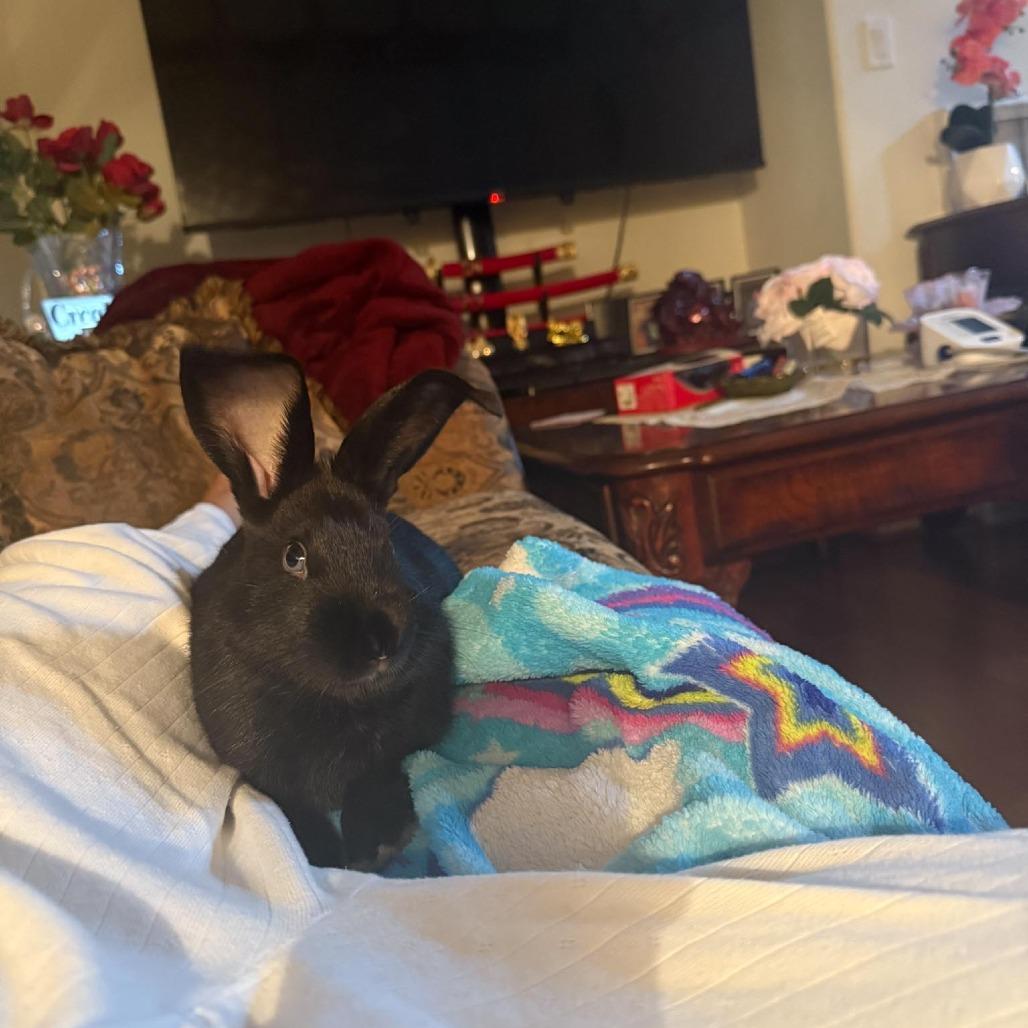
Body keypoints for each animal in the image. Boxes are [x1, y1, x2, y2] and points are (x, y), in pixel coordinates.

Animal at [179, 345, 500, 868]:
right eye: (294, 557)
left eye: (386, 543)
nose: (380, 643)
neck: (331, 700)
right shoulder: (263, 769)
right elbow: (292, 808)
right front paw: (326, 854)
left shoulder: (405, 740)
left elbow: (378, 776)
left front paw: (374, 842)